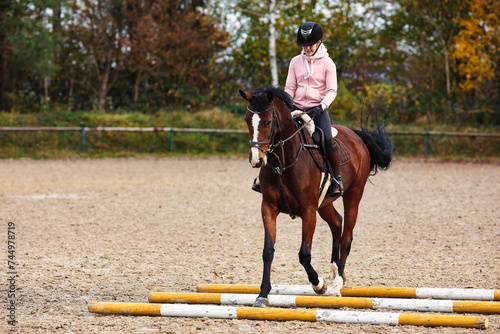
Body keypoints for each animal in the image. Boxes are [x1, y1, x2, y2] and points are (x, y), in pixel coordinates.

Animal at [239, 87, 394, 308]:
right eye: (246, 119)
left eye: (268, 122)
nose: (256, 160)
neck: (284, 159)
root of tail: (356, 136)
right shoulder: (268, 207)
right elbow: (268, 251)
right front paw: (262, 295)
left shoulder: (308, 210)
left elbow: (304, 254)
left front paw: (318, 284)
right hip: (324, 203)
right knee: (337, 223)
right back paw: (336, 271)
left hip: (353, 194)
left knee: (346, 237)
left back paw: (336, 285)